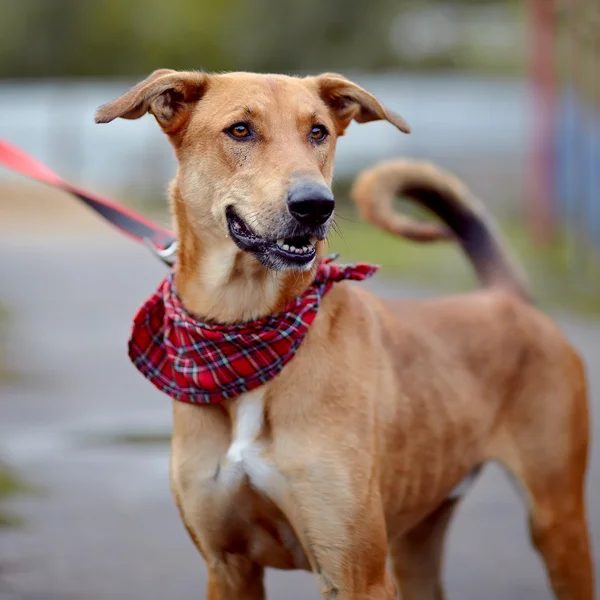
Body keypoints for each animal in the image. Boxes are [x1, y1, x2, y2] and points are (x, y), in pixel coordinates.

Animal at [96, 69, 592, 596]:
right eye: (240, 131)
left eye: (319, 132)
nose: (315, 205)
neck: (246, 333)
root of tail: (506, 296)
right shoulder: (227, 567)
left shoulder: (357, 574)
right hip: (419, 539)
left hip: (556, 522)